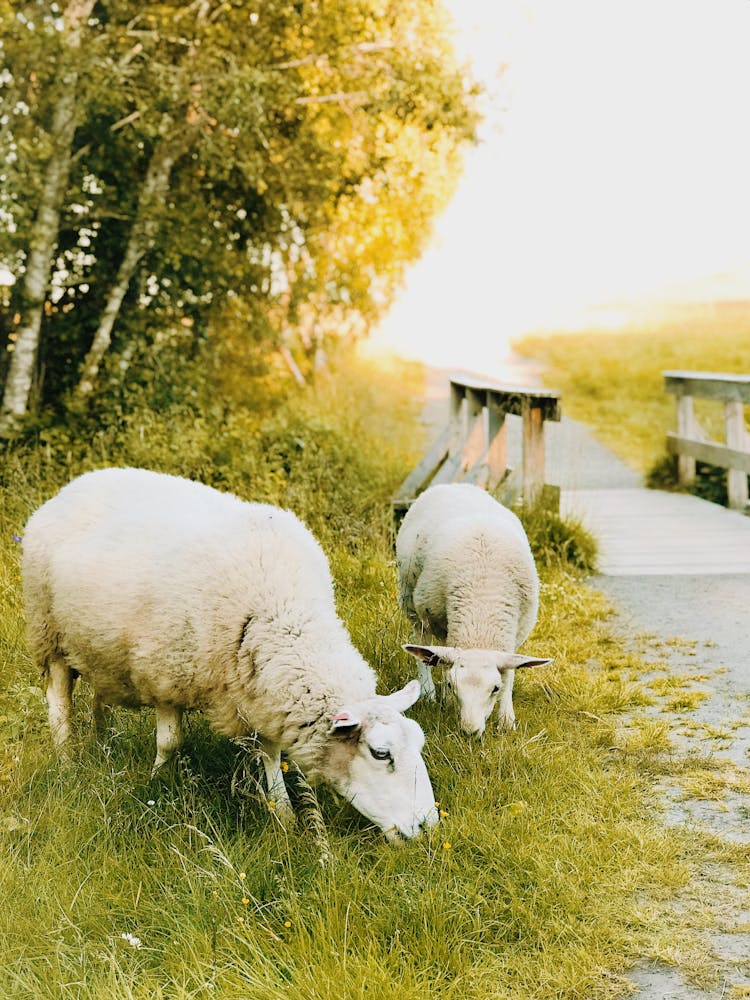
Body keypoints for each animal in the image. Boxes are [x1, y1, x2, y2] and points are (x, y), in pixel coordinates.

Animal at [23, 464, 440, 840]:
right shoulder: (166, 672)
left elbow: (272, 755)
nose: (428, 827)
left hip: (97, 648)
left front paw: (283, 814)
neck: (281, 611)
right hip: (49, 633)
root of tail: (76, 484)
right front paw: (157, 784)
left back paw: (103, 743)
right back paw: (67, 761)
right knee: (59, 704)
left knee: (99, 697)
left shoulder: (264, 690)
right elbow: (169, 743)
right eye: (381, 754)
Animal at [400, 482, 552, 736]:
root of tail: (454, 484)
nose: (470, 732)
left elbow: (510, 671)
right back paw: (429, 691)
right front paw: (447, 698)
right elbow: (442, 660)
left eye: (495, 688)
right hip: (411, 600)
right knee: (421, 642)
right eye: (453, 685)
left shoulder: (515, 633)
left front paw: (506, 719)